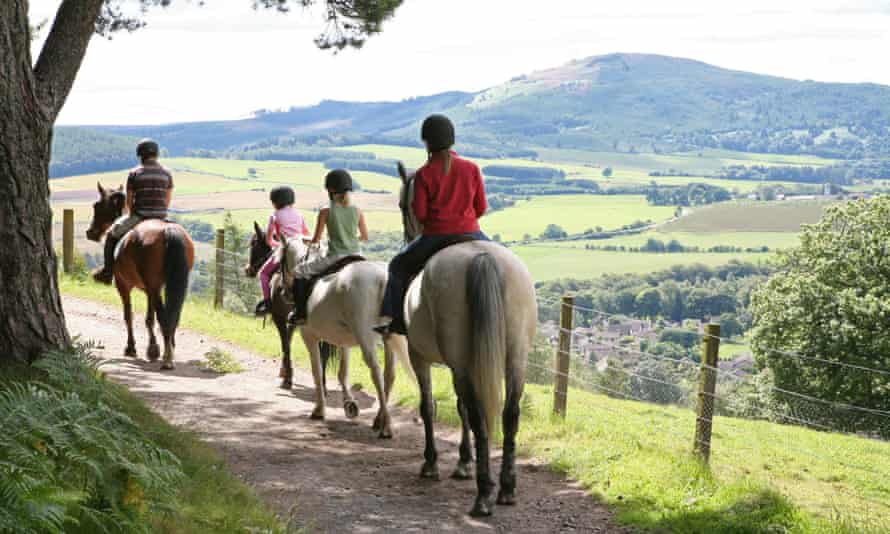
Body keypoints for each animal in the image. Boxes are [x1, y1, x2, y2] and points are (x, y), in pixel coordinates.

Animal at [86, 182, 193, 370]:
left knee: (164, 317)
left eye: (97, 206)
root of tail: (168, 231)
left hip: (152, 285)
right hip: (168, 285)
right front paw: (153, 349)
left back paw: (167, 358)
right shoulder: (150, 289)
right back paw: (169, 350)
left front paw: (131, 348)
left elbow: (128, 315)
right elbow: (149, 318)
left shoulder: (123, 284)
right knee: (173, 315)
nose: (90, 232)